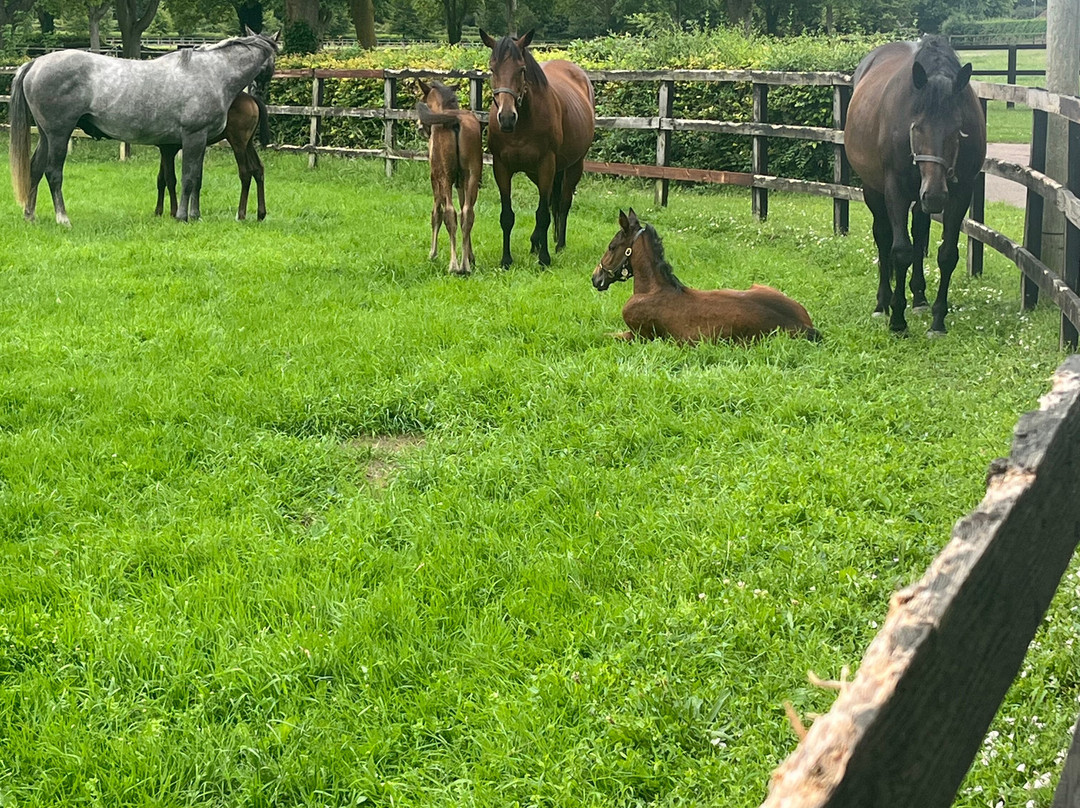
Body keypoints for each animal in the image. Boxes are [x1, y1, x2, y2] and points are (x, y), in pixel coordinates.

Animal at [155, 90, 270, 221]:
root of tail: (251, 98)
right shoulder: (166, 150)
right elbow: (161, 179)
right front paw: (158, 211)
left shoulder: (168, 150)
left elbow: (170, 180)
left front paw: (173, 212)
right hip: (248, 143)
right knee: (258, 168)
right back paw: (261, 214)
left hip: (238, 143)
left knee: (245, 173)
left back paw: (241, 215)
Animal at [414, 79, 482, 274]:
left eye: (425, 99)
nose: (419, 126)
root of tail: (456, 121)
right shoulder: (461, 183)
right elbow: (463, 209)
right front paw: (470, 256)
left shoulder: (435, 179)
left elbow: (436, 213)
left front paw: (432, 254)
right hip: (472, 176)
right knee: (467, 213)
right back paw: (465, 265)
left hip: (445, 177)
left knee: (450, 213)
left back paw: (454, 266)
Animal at [478, 28, 595, 268]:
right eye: (492, 69)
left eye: (521, 70)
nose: (506, 118)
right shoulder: (501, 167)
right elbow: (507, 216)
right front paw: (506, 260)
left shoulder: (546, 165)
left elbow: (543, 214)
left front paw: (544, 259)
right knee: (552, 201)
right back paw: (536, 242)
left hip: (573, 166)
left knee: (563, 203)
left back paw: (558, 246)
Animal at [592, 209, 821, 344]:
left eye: (611, 247)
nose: (595, 278)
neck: (654, 290)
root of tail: (804, 326)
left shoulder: (640, 336)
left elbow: (602, 335)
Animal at [844, 35, 986, 335]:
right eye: (917, 127)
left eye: (957, 129)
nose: (934, 195)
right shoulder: (895, 190)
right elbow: (900, 251)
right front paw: (897, 319)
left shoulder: (961, 193)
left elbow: (946, 254)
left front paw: (938, 320)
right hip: (873, 190)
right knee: (883, 236)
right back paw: (882, 303)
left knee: (920, 234)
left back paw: (919, 297)